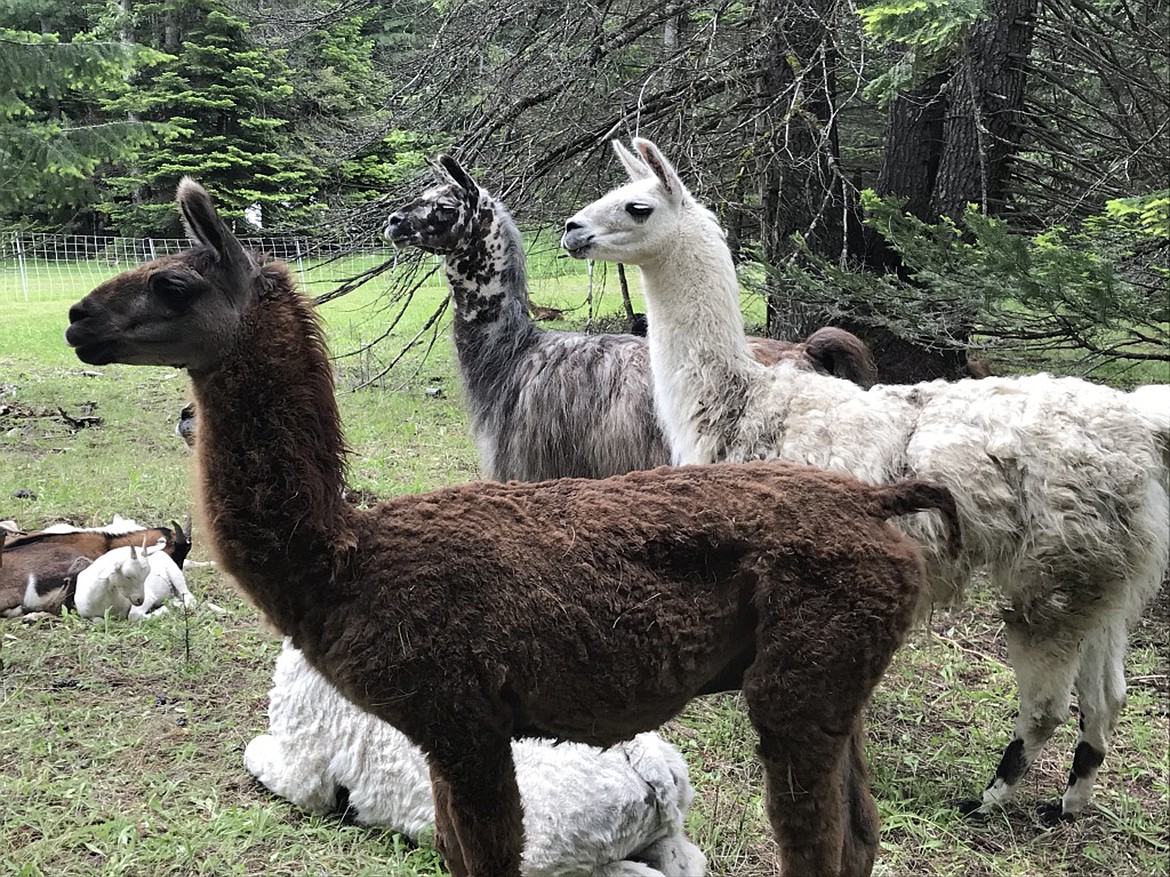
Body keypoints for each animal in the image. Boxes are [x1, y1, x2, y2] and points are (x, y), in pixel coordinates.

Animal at [559, 137, 1170, 823]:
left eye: (636, 206)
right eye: (606, 194)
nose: (571, 229)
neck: (742, 402)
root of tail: (1141, 422)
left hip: (1056, 567)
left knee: (1047, 705)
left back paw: (988, 798)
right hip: (1107, 570)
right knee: (1108, 696)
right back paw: (1068, 802)